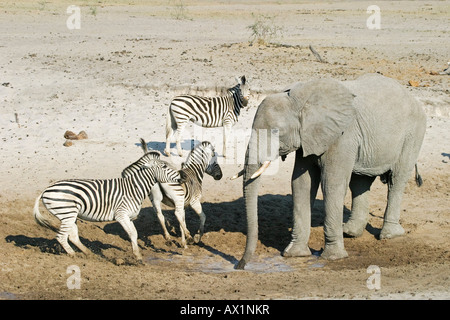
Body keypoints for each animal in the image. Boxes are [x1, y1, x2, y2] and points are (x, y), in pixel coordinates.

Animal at [33, 159, 185, 262]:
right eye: (164, 166)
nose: (183, 177)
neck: (134, 188)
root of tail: (46, 189)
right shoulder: (121, 215)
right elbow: (132, 233)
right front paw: (137, 258)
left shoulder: (129, 217)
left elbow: (134, 234)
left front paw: (137, 254)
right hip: (67, 213)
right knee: (61, 237)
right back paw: (73, 255)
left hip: (70, 215)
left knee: (72, 236)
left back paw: (88, 253)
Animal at [236, 74, 426, 268]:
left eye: (276, 132)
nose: (240, 265)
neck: (300, 102)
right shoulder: (308, 138)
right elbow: (302, 183)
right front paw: (294, 254)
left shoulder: (343, 136)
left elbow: (332, 184)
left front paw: (333, 257)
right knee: (360, 182)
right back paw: (350, 232)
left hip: (413, 134)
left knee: (397, 180)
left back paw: (389, 235)